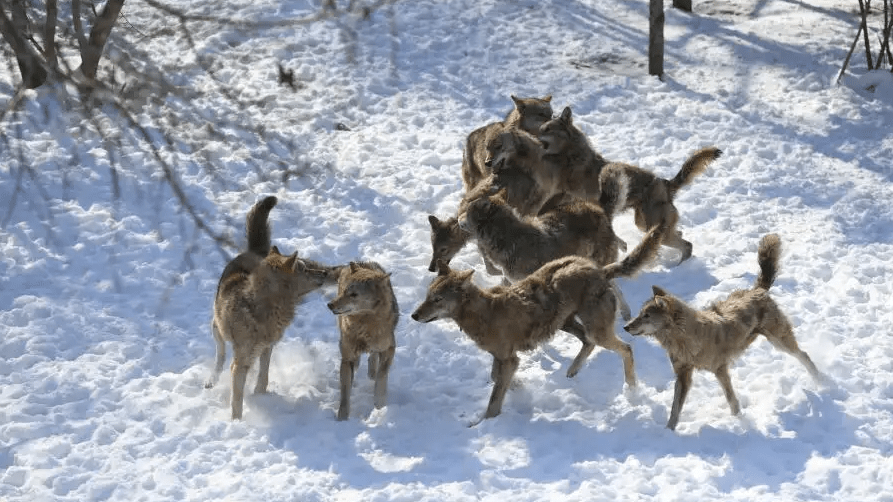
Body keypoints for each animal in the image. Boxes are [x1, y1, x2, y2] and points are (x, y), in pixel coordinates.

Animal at [204, 196, 336, 420]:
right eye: (304, 269)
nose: (325, 273)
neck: (264, 308)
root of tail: (254, 251)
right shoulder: (240, 361)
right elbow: (237, 399)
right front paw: (236, 422)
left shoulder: (267, 346)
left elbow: (263, 376)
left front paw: (259, 396)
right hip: (216, 328)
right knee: (220, 354)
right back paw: (212, 379)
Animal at [326, 260, 398, 422]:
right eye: (344, 291)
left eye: (354, 294)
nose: (330, 305)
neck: (364, 325)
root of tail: (359, 262)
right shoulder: (347, 358)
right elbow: (345, 393)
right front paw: (342, 419)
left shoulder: (389, 348)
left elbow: (381, 377)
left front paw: (379, 406)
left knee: (373, 356)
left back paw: (371, 372)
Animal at [408, 222, 664, 422]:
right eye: (427, 296)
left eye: (438, 300)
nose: (414, 316)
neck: (485, 312)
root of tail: (599, 270)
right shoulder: (503, 357)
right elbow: (495, 378)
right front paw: (518, 387)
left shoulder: (508, 359)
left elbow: (494, 399)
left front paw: (484, 423)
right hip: (564, 323)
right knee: (588, 342)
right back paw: (572, 371)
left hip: (594, 329)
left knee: (625, 348)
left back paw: (631, 389)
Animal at [620, 233, 824, 430]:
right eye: (639, 314)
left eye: (646, 316)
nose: (625, 327)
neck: (685, 338)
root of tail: (757, 290)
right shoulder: (683, 375)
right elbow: (675, 409)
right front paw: (668, 431)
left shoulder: (720, 370)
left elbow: (731, 400)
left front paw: (741, 422)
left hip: (779, 341)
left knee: (803, 355)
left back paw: (821, 381)